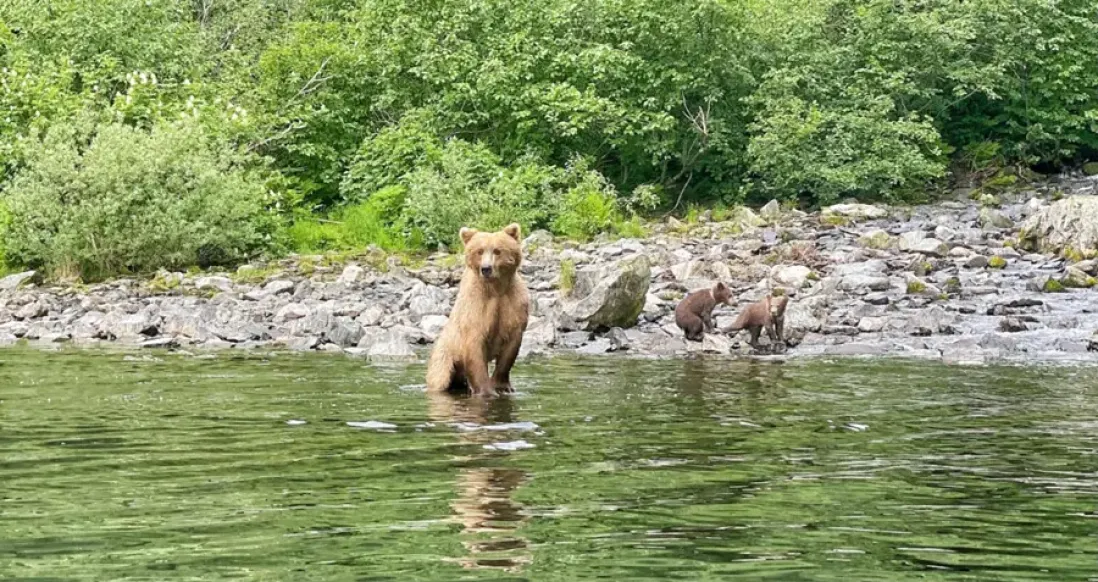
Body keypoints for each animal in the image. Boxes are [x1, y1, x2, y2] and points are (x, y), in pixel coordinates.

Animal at [426, 223, 530, 397]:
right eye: (479, 251)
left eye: (497, 250)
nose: (486, 269)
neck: (495, 289)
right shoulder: (476, 307)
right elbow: (474, 347)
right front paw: (486, 391)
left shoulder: (514, 304)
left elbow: (510, 350)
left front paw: (503, 386)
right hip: (444, 356)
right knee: (440, 378)